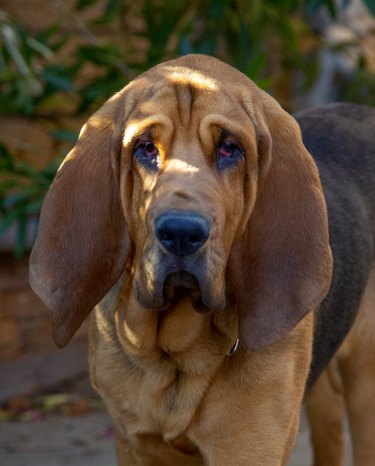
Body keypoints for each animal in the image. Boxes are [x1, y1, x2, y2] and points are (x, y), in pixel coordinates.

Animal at [30, 55, 375, 466]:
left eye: (230, 148)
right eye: (145, 147)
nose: (181, 232)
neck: (174, 357)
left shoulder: (248, 449)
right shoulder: (135, 444)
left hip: (365, 386)